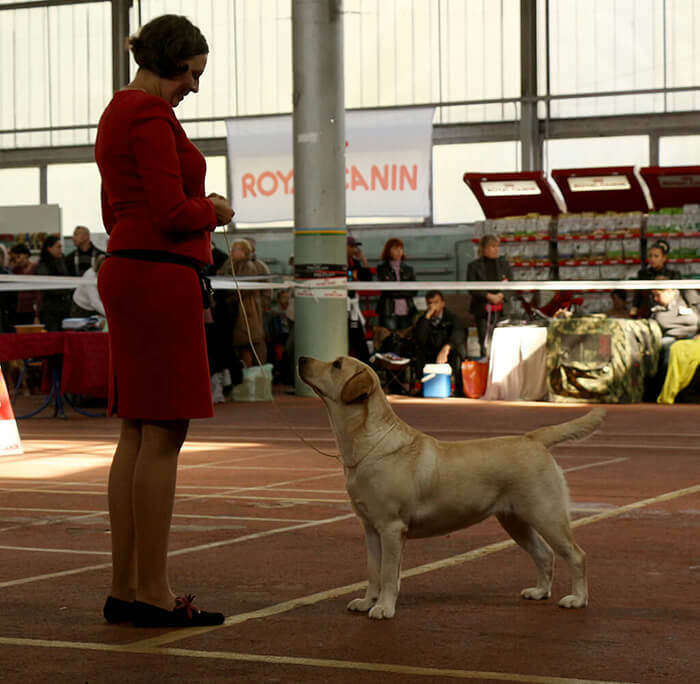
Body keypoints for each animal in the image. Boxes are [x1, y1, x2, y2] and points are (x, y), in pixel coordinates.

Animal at [298, 358, 604, 620]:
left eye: (337, 364)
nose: (301, 359)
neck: (365, 445)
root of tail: (533, 439)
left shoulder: (391, 527)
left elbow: (387, 573)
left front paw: (383, 608)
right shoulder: (371, 527)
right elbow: (374, 570)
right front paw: (366, 602)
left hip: (546, 514)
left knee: (577, 555)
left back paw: (577, 599)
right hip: (515, 520)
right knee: (544, 554)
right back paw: (539, 592)